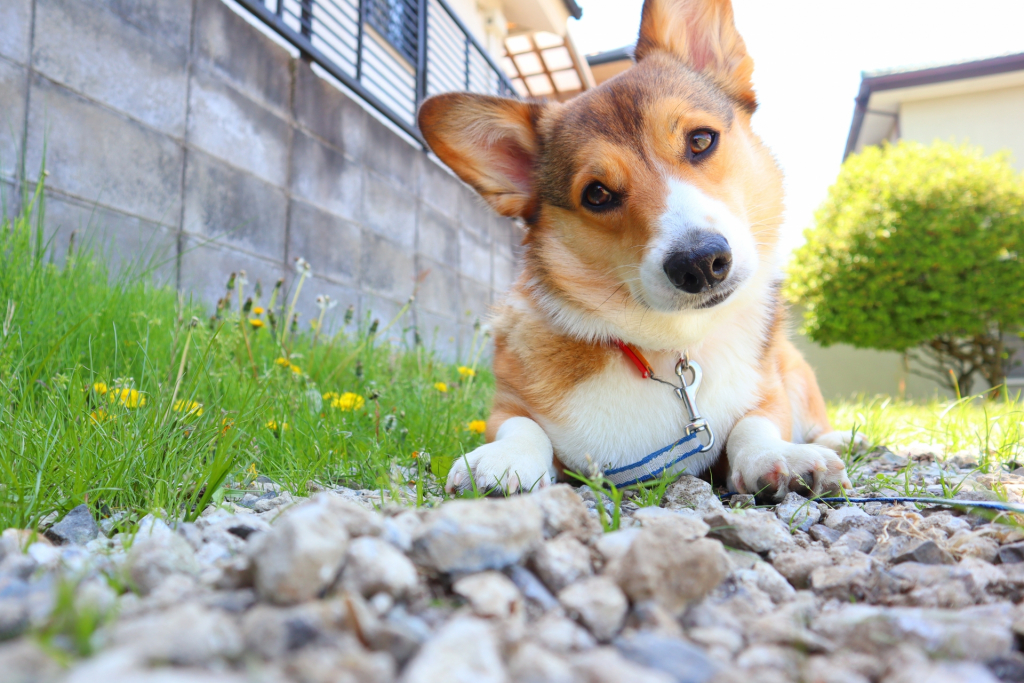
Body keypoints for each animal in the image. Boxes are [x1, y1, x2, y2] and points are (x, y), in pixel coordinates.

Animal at [415, 0, 856, 501]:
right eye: (597, 194)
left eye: (701, 140)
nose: (700, 263)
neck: (668, 347)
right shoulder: (507, 405)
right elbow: (521, 426)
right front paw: (501, 459)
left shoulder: (768, 392)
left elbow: (755, 424)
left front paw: (778, 457)